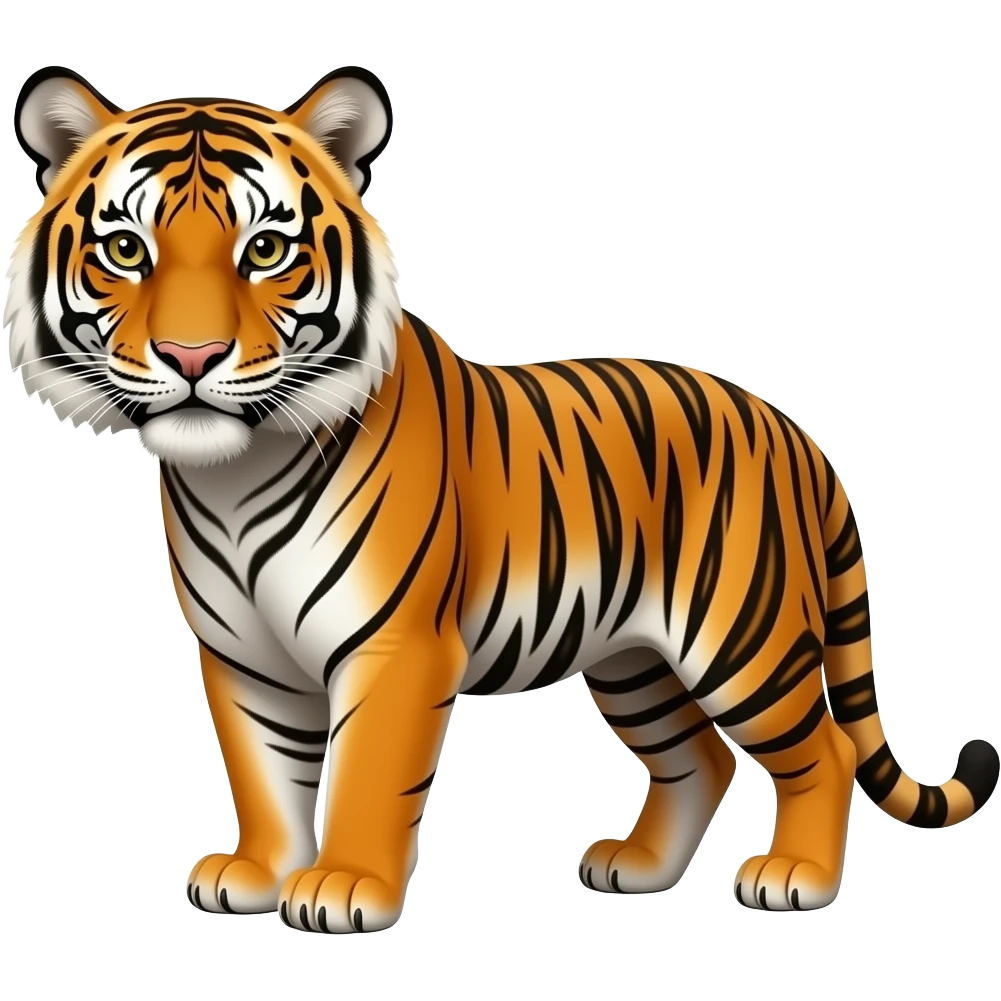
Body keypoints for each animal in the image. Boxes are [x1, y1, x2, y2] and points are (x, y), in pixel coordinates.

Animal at [5, 64, 998, 935]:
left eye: (266, 250)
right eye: (125, 250)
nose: (192, 357)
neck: (232, 474)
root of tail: (791, 429)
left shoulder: (395, 645)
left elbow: (365, 774)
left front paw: (344, 888)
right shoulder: (242, 656)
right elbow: (263, 772)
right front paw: (255, 873)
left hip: (741, 639)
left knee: (821, 750)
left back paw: (795, 877)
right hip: (633, 660)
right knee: (699, 757)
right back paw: (637, 867)